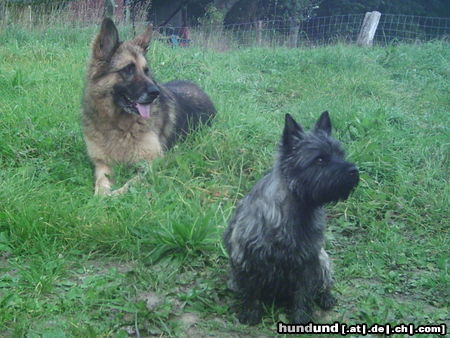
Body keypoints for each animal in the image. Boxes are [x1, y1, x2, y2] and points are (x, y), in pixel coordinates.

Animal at [82, 17, 216, 195]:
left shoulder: (153, 162)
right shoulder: (102, 163)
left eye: (146, 70)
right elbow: (101, 182)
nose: (155, 92)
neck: (118, 125)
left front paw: (116, 194)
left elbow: (132, 183)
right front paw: (102, 195)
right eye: (128, 69)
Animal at [224, 111, 358, 324]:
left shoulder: (307, 260)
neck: (295, 209)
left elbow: (303, 293)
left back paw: (326, 297)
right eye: (320, 160)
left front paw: (301, 317)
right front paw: (251, 314)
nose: (354, 171)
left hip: (322, 258)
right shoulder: (249, 258)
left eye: (341, 154)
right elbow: (252, 292)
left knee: (324, 284)